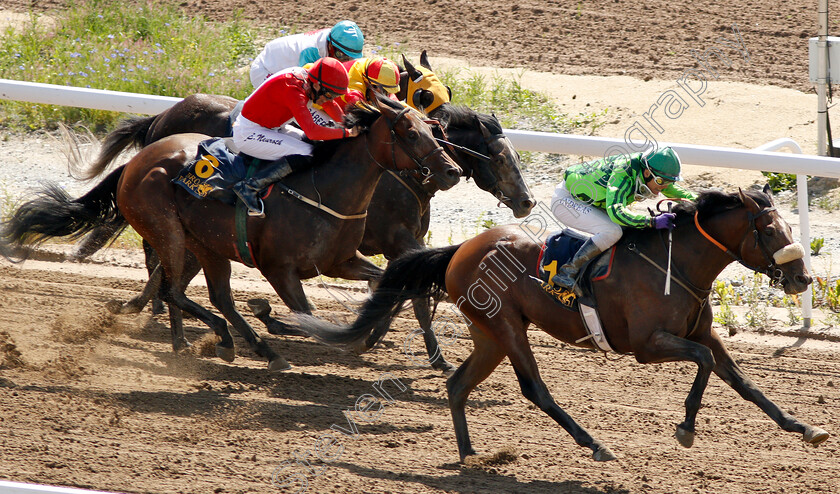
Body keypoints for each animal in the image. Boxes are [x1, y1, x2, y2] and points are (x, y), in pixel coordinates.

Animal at [1, 95, 460, 370]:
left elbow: (388, 285)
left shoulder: (342, 261)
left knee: (207, 294)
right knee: (173, 289)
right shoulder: (280, 270)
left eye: (436, 129)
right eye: (412, 132)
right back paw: (220, 338)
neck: (324, 190)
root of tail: (136, 162)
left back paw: (230, 344)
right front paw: (274, 317)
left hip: (205, 244)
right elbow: (307, 318)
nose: (452, 171)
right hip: (168, 229)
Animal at [70, 53, 532, 374]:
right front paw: (418, 352)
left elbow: (393, 288)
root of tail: (162, 118)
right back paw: (161, 318)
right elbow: (407, 296)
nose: (526, 202)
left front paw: (378, 337)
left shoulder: (370, 251)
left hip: (203, 241)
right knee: (163, 269)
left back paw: (180, 332)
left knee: (179, 281)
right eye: (500, 156)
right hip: (176, 230)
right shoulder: (393, 240)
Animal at [280, 186, 828, 460]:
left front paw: (804, 428)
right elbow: (704, 365)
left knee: (458, 385)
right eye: (769, 229)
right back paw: (596, 444)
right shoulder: (648, 344)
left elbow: (743, 382)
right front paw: (686, 428)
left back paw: (468, 453)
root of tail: (461, 250)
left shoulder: (702, 332)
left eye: (786, 226)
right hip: (507, 329)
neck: (677, 263)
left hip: (489, 334)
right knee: (534, 390)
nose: (802, 277)